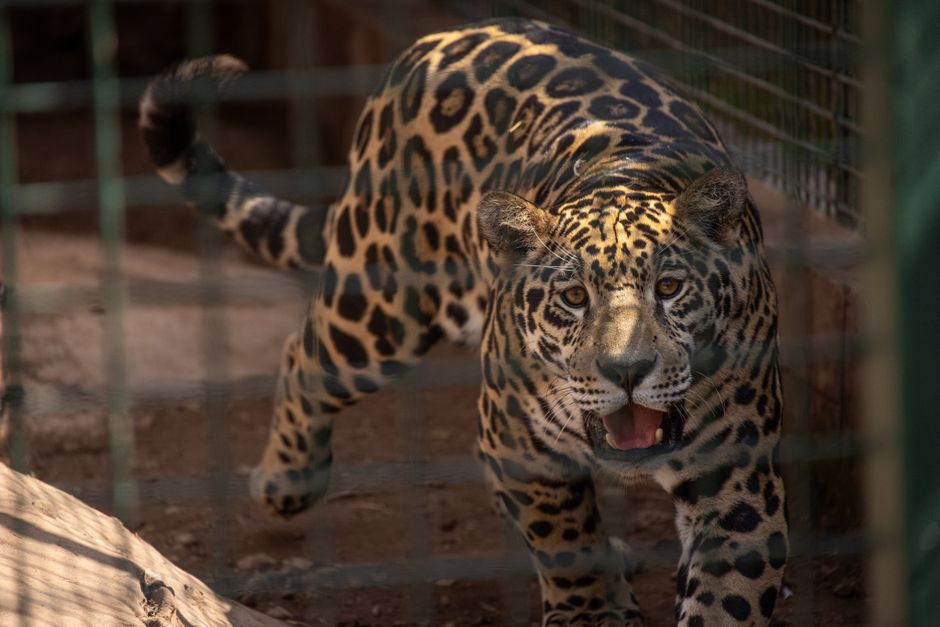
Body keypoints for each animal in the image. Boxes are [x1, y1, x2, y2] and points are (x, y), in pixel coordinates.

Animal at [139, 17, 787, 626]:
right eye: (574, 297)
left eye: (670, 288)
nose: (626, 371)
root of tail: (445, 34)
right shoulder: (518, 438)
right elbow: (564, 541)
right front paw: (589, 611)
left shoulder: (740, 477)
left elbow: (726, 596)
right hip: (379, 305)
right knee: (305, 356)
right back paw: (285, 483)